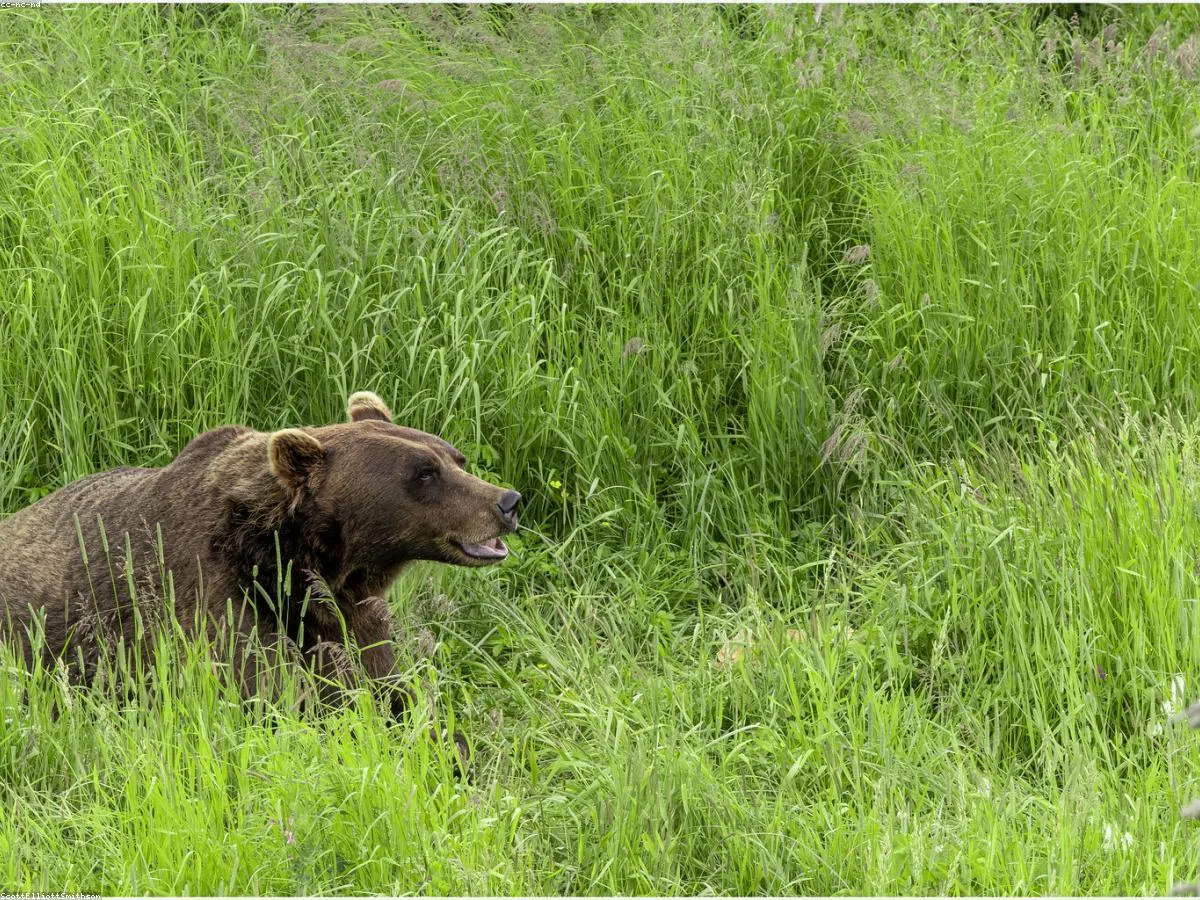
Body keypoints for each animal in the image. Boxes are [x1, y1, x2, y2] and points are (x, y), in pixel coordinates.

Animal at [0, 390, 520, 731]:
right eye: (424, 473)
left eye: (455, 457)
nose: (507, 501)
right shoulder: (212, 601)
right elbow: (277, 699)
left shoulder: (351, 614)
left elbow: (391, 691)